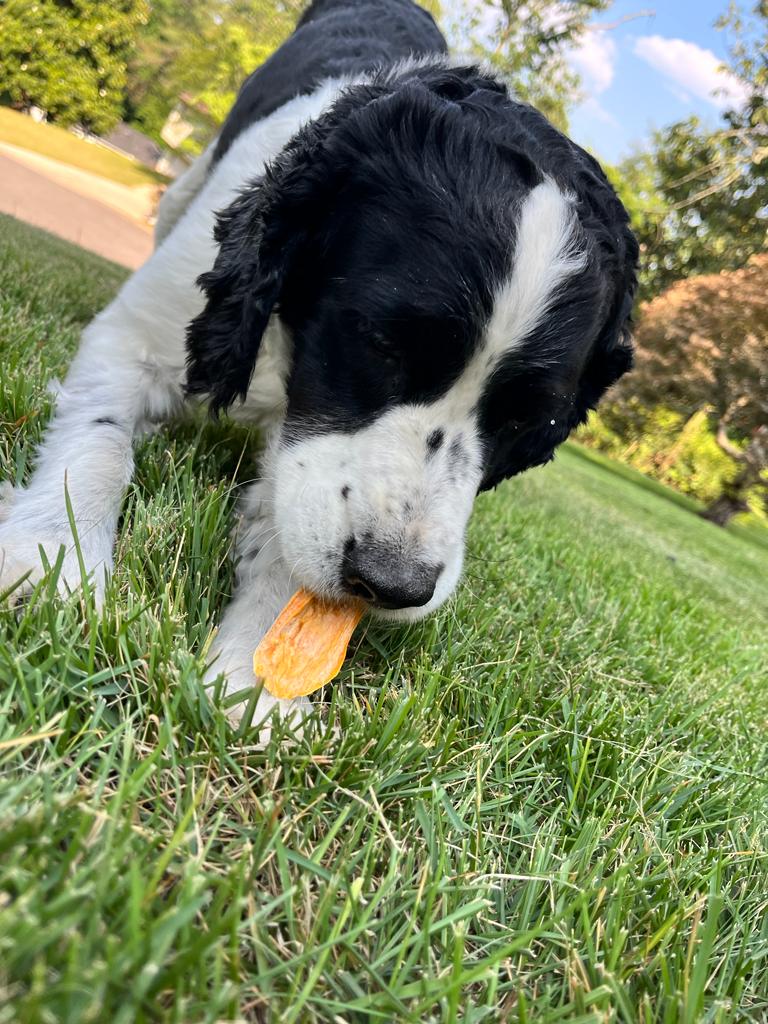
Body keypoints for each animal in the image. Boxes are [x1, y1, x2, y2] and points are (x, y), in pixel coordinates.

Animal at [0, 4, 638, 733]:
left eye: (528, 420)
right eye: (378, 341)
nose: (394, 584)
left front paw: (254, 685)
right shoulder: (136, 336)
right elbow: (100, 447)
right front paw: (52, 562)